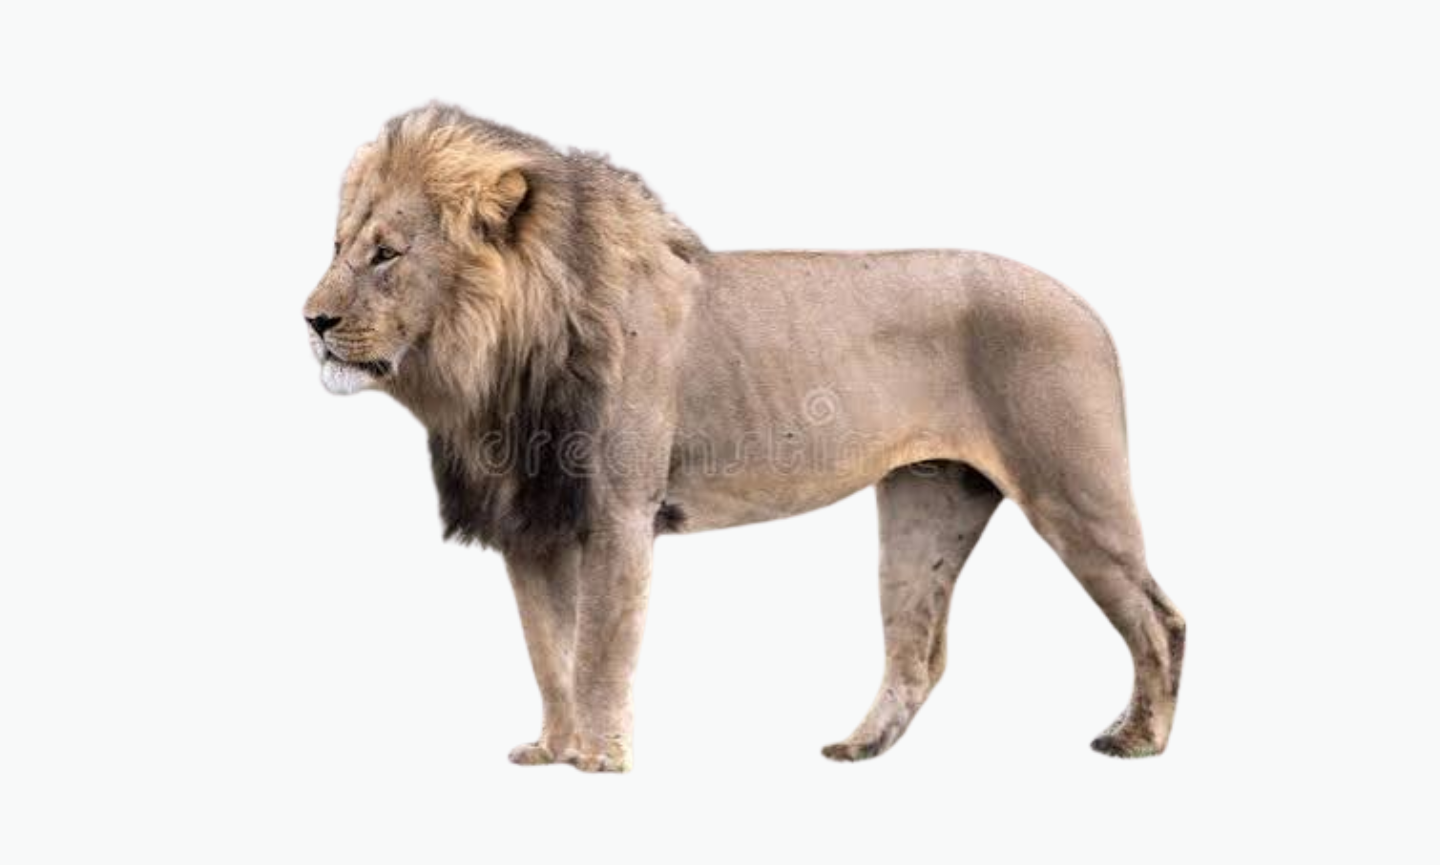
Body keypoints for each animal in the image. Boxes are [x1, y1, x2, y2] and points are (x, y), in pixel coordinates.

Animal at [303, 103, 1186, 772]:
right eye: (337, 247)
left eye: (385, 254)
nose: (311, 320)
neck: (496, 371)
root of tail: (1085, 305)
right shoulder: (533, 525)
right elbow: (548, 649)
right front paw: (553, 748)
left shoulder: (619, 514)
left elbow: (598, 650)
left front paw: (598, 758)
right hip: (925, 505)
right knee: (920, 649)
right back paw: (860, 748)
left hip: (1072, 491)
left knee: (1159, 617)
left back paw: (1138, 739)